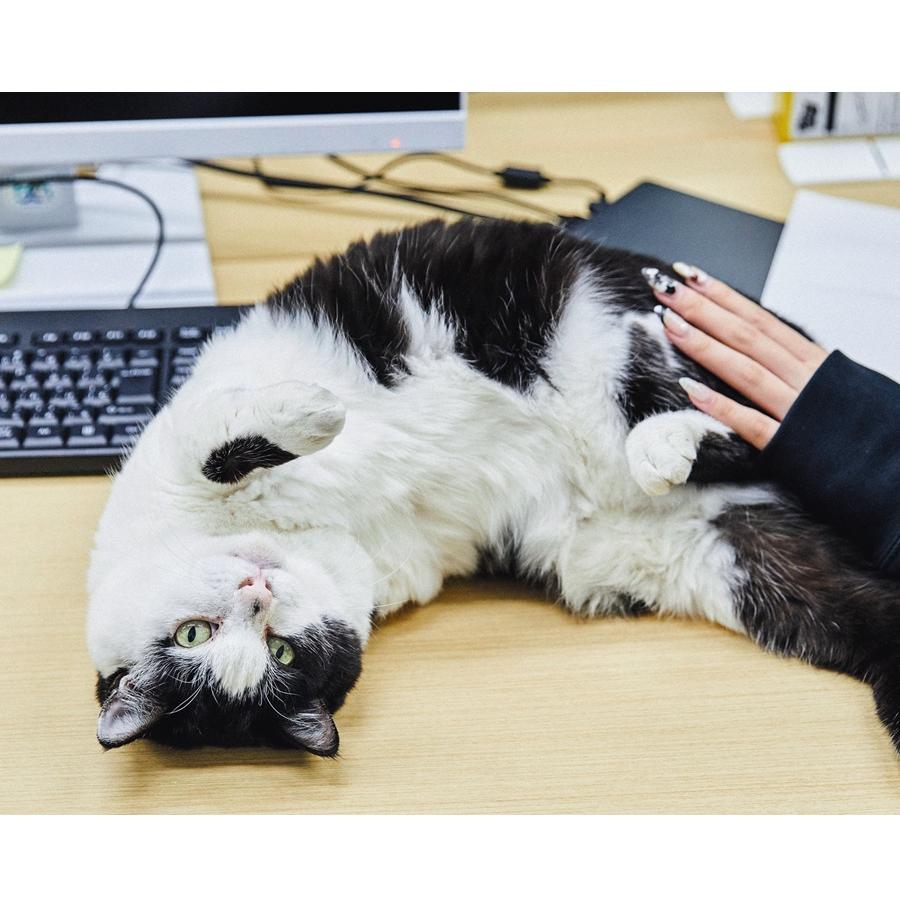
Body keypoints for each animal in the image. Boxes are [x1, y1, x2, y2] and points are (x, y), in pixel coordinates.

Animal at [87, 217, 900, 757]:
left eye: (194, 634)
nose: (259, 592)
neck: (319, 535)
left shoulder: (178, 453)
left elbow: (226, 441)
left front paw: (322, 413)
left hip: (614, 329)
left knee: (725, 410)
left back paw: (658, 442)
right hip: (726, 564)